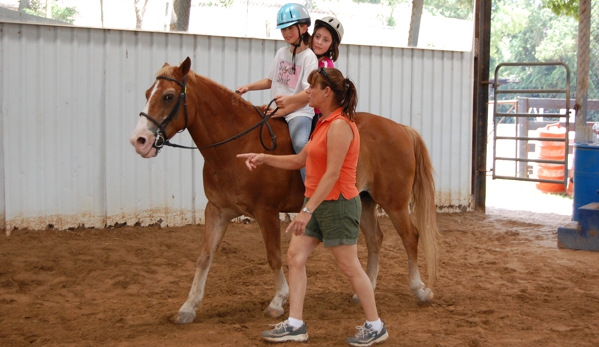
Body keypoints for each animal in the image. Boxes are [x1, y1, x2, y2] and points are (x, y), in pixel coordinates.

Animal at [130, 57, 440, 326]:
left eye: (169, 96)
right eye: (146, 93)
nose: (139, 140)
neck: (236, 143)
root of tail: (400, 128)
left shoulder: (266, 211)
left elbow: (273, 255)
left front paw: (279, 300)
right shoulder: (217, 211)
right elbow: (204, 256)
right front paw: (188, 307)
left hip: (394, 202)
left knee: (411, 237)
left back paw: (420, 289)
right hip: (364, 201)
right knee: (376, 240)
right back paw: (366, 288)